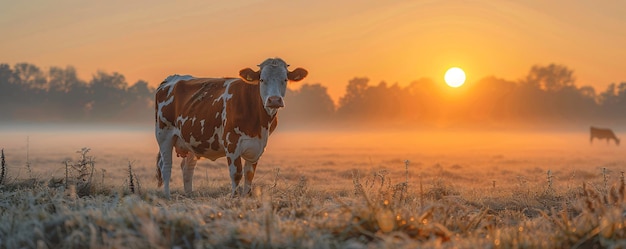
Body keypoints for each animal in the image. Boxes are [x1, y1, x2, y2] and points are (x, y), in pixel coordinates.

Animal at [152, 58, 306, 196]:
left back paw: (189, 195)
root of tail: (172, 78)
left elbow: (249, 174)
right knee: (166, 167)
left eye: (285, 80)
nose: (274, 100)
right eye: (262, 80)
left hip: (190, 138)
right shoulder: (231, 143)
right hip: (164, 135)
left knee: (187, 167)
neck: (259, 124)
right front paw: (234, 197)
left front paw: (246, 197)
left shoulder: (257, 146)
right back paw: (167, 195)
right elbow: (236, 173)